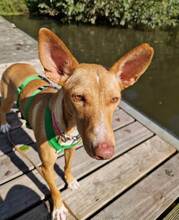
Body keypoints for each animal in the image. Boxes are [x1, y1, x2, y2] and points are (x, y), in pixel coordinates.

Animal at [0, 28, 154, 220]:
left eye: (114, 99)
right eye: (78, 97)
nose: (105, 153)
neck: (67, 129)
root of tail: (15, 64)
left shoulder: (71, 149)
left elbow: (67, 166)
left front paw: (70, 180)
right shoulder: (45, 168)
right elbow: (55, 190)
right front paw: (59, 207)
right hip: (8, 98)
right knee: (2, 108)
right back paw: (4, 125)